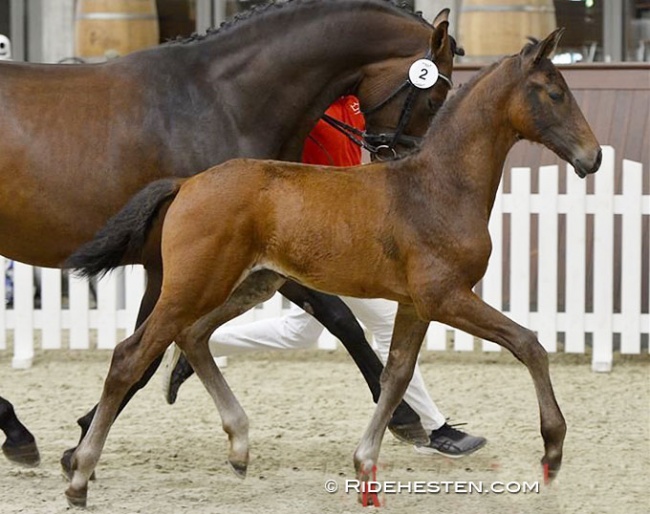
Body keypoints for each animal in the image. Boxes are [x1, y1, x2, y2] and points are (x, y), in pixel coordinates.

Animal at [66, 30, 596, 506]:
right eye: (555, 93)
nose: (594, 156)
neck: (438, 187)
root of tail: (186, 183)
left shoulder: (415, 304)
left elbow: (397, 374)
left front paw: (367, 466)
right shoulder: (446, 296)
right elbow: (528, 344)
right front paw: (553, 449)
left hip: (252, 284)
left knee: (193, 337)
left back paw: (238, 446)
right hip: (194, 286)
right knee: (130, 356)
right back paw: (80, 475)